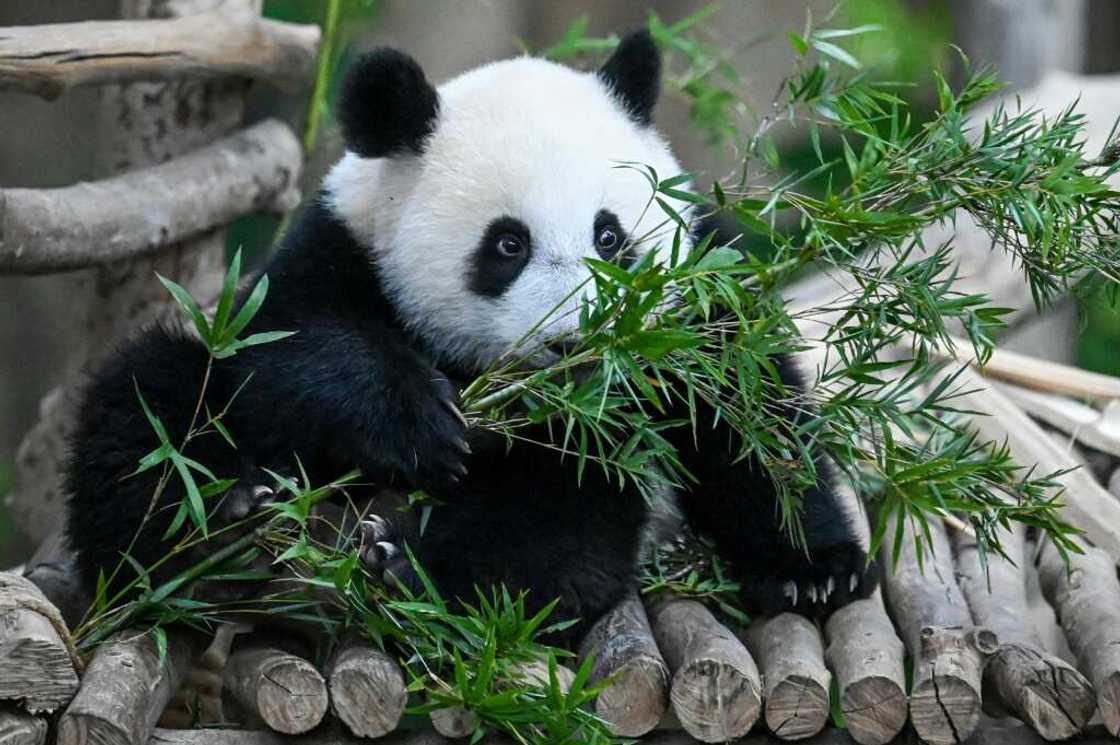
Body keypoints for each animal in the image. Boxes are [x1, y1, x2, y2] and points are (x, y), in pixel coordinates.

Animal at [65, 30, 877, 643]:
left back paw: (408, 565)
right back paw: (219, 517)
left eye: (610, 236)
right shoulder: (339, 251)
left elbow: (747, 417)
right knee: (149, 406)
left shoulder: (695, 296)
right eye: (508, 245)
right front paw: (417, 422)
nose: (579, 344)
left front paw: (813, 567)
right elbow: (284, 348)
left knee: (562, 520)